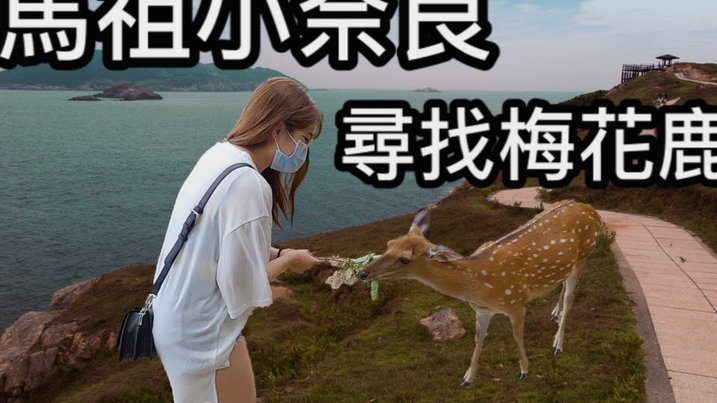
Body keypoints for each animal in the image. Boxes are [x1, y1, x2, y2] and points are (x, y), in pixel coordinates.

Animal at [358, 200, 601, 387]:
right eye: (389, 243)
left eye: (405, 259)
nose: (362, 273)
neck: (477, 285)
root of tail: (592, 210)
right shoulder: (482, 311)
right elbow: (478, 340)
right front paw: (467, 378)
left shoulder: (516, 302)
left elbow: (517, 335)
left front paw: (524, 370)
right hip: (567, 265)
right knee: (562, 286)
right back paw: (554, 314)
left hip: (584, 255)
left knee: (570, 297)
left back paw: (558, 343)